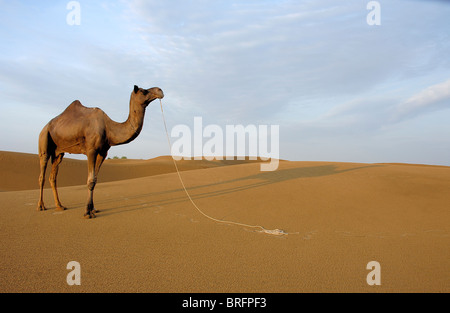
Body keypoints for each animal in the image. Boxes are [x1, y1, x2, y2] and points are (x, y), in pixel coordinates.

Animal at [36, 84, 163, 217]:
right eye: (144, 91)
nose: (160, 90)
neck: (109, 128)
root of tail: (45, 127)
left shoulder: (103, 152)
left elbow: (95, 180)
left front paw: (93, 209)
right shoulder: (91, 150)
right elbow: (90, 180)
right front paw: (87, 212)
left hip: (59, 152)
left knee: (53, 177)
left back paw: (60, 206)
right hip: (44, 139)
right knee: (42, 174)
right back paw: (41, 206)